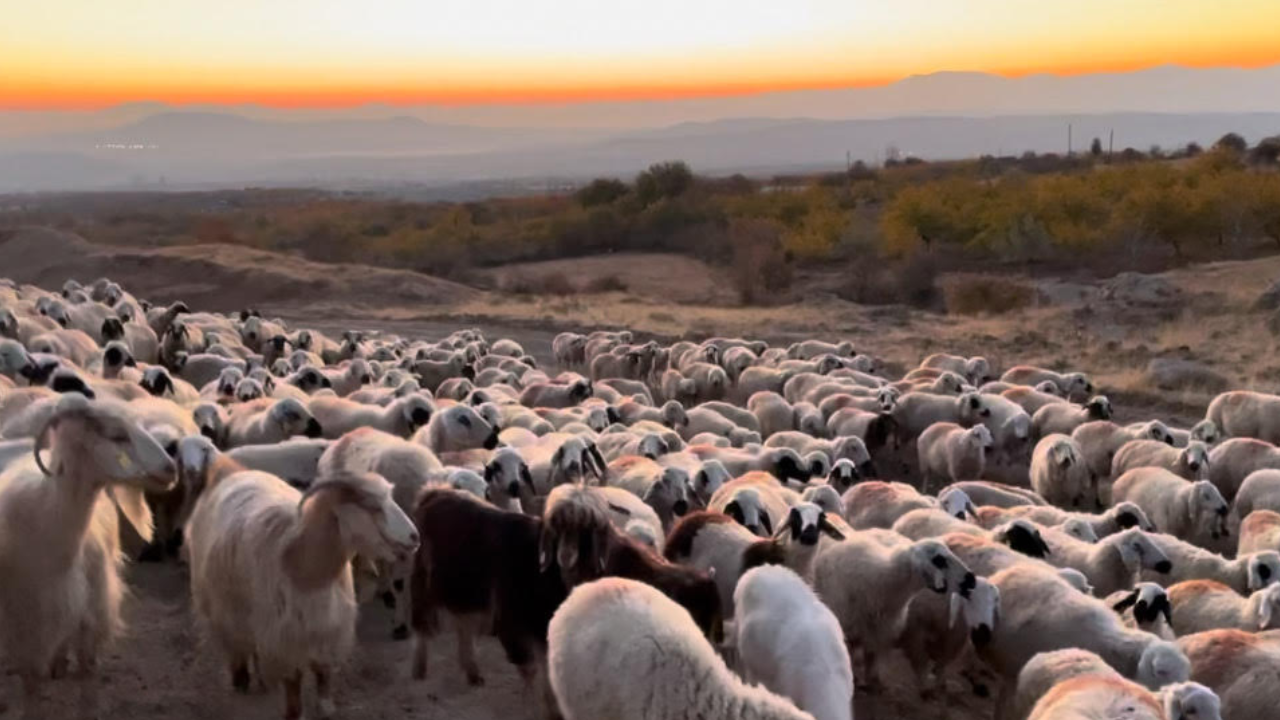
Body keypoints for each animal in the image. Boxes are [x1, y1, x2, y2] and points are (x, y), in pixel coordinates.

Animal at [0, 392, 176, 712]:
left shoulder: (89, 620)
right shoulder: (24, 625)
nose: (171, 469)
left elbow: (87, 683)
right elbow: (32, 687)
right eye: (117, 435)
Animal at [186, 468, 417, 712]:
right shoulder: (288, 639)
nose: (415, 537)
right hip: (223, 607)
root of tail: (241, 473)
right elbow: (294, 691)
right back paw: (241, 679)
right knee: (236, 644)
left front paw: (326, 707)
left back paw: (261, 679)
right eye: (373, 506)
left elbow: (323, 673)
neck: (302, 565)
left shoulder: (327, 627)